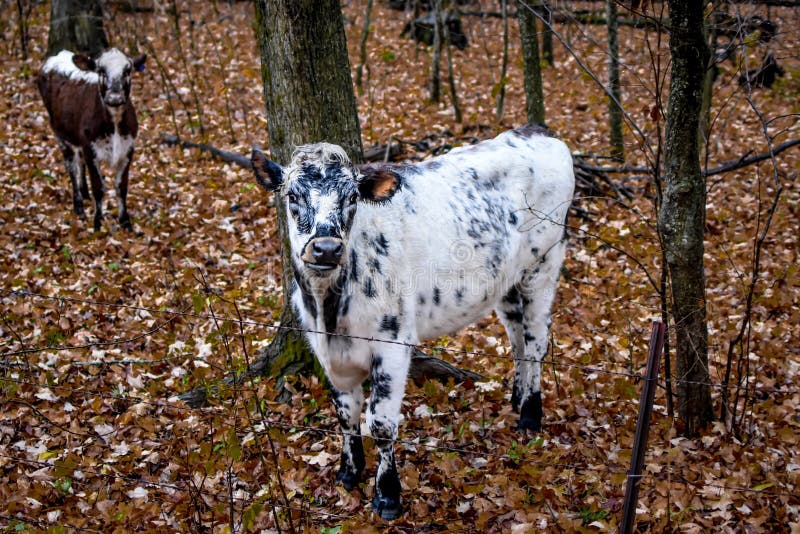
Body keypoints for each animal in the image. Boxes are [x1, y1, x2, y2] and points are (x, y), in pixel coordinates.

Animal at [36, 50, 146, 232]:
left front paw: (125, 222)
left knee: (80, 162)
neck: (114, 124)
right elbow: (99, 187)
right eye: (101, 70)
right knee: (72, 168)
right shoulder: (90, 149)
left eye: (127, 70)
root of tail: (60, 54)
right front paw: (98, 222)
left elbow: (121, 187)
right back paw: (79, 205)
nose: (115, 98)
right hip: (61, 135)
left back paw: (84, 193)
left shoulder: (127, 150)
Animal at [253, 124, 572, 520]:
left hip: (544, 265)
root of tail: (536, 131)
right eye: (293, 196)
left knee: (535, 342)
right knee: (516, 339)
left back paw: (530, 414)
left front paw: (388, 495)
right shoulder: (326, 350)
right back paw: (516, 397)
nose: (326, 248)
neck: (329, 309)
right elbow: (346, 413)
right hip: (507, 281)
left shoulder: (392, 344)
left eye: (352, 198)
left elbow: (381, 423)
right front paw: (349, 471)